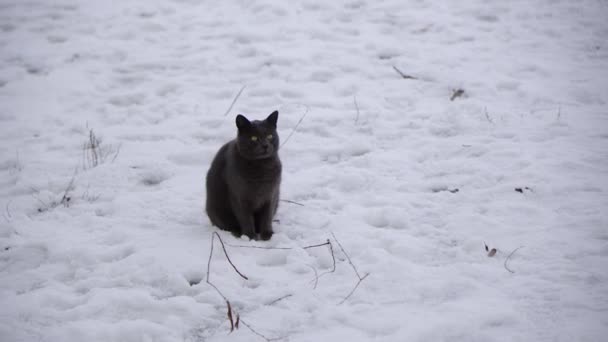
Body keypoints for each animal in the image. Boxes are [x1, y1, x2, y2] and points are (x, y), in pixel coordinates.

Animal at [204, 111, 280, 239]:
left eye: (270, 136)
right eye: (254, 138)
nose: (265, 145)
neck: (261, 167)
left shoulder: (271, 195)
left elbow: (266, 217)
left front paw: (267, 235)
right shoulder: (239, 197)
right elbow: (245, 218)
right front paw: (250, 236)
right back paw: (237, 232)